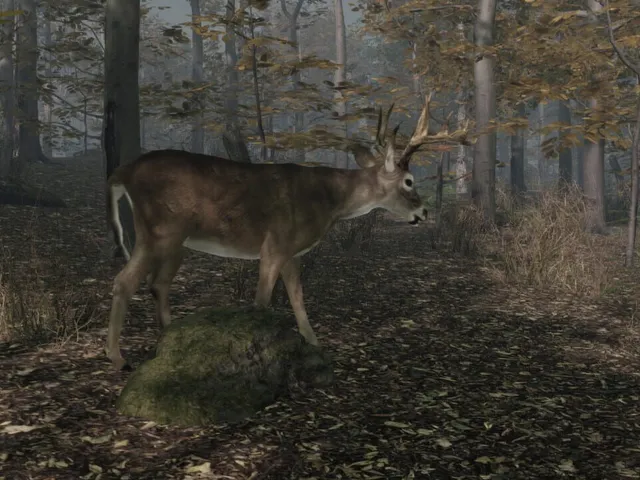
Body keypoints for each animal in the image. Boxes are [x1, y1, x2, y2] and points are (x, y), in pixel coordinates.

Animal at [105, 96, 447, 371]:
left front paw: (314, 344)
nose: (423, 212)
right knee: (124, 281)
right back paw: (119, 358)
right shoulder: (274, 244)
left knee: (157, 283)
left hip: (175, 240)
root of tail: (123, 172)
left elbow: (297, 297)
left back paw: (166, 339)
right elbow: (261, 302)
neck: (328, 201)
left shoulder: (291, 251)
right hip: (158, 229)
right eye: (409, 181)